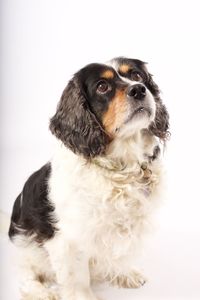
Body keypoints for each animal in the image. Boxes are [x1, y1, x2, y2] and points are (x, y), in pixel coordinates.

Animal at [8, 56, 170, 300]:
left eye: (137, 75)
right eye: (102, 87)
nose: (138, 89)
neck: (121, 166)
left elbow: (118, 255)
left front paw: (125, 274)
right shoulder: (68, 239)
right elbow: (77, 279)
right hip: (24, 246)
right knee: (25, 277)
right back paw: (42, 292)